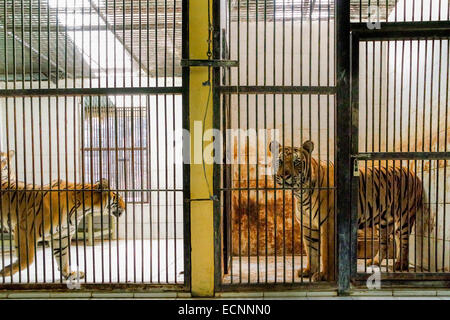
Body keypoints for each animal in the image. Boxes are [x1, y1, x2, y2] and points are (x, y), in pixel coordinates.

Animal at [0, 152, 125, 280]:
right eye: (119, 197)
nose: (125, 207)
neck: (82, 210)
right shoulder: (26, 228)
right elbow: (27, 259)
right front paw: (5, 271)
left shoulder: (62, 235)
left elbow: (63, 256)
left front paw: (69, 274)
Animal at [268, 140, 428, 280]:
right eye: (280, 161)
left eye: (296, 162)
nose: (284, 175)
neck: (300, 193)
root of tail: (413, 173)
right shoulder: (308, 226)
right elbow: (311, 251)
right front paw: (309, 271)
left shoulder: (328, 223)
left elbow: (326, 252)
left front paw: (324, 276)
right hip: (383, 221)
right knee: (386, 241)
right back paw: (374, 262)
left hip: (404, 217)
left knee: (403, 241)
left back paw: (401, 265)